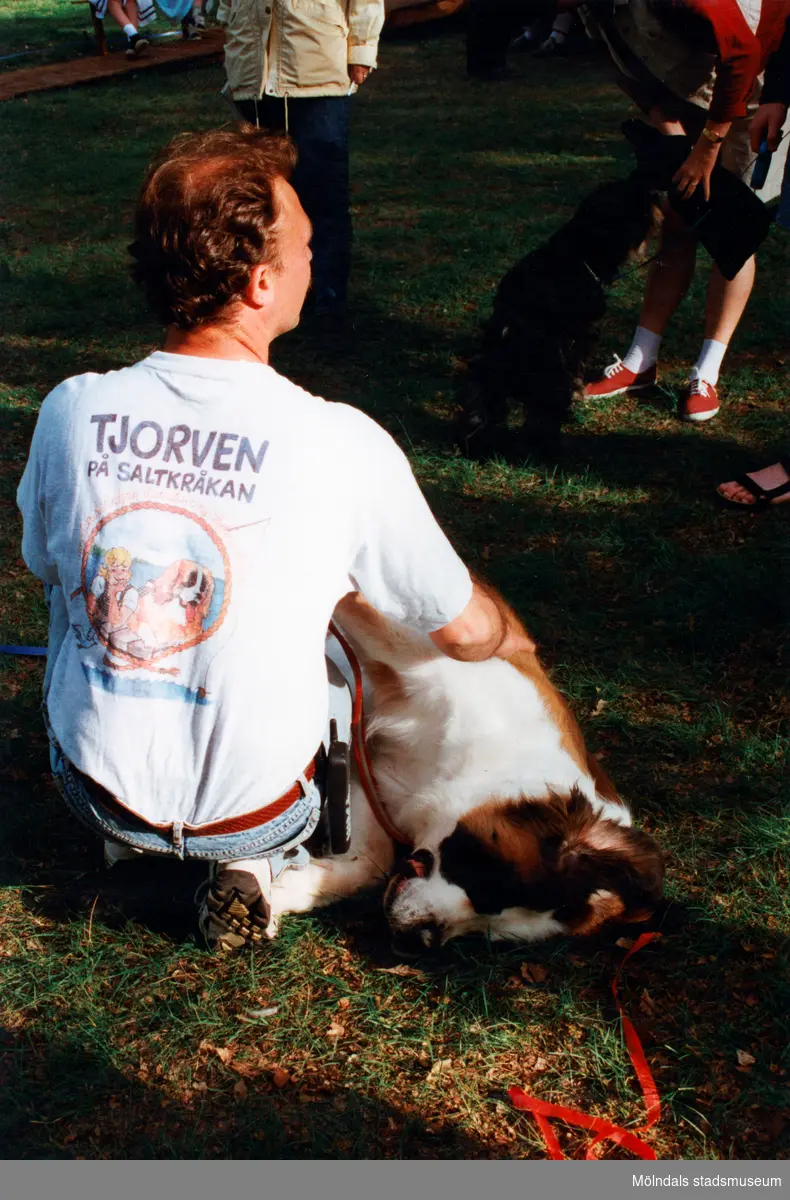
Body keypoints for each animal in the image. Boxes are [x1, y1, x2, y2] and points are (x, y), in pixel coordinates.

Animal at [267, 592, 662, 955]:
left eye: (485, 934)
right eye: (487, 888)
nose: (420, 941)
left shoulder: (362, 762)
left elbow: (373, 858)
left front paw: (286, 892)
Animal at [458, 175, 653, 456]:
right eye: (627, 199)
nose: (649, 187)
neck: (575, 253)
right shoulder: (584, 334)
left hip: (489, 374)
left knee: (480, 407)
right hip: (549, 380)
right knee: (543, 419)